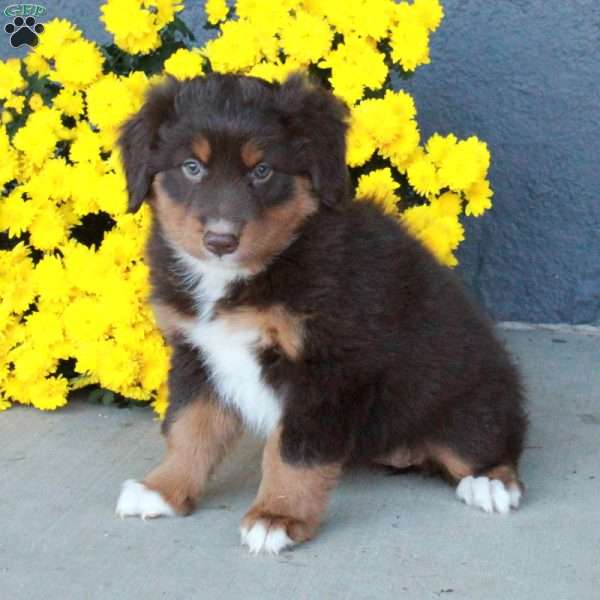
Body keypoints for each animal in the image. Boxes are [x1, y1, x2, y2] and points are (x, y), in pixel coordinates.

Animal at [115, 72, 528, 556]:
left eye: (262, 171)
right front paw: (162, 489)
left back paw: (489, 482)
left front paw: (277, 516)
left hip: (471, 401)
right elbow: (188, 428)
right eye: (191, 167)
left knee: (491, 443)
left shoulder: (328, 368)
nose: (220, 240)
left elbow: (293, 452)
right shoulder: (198, 353)